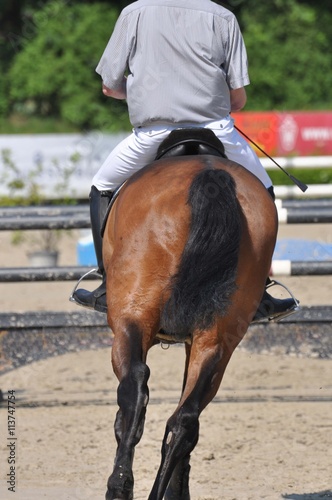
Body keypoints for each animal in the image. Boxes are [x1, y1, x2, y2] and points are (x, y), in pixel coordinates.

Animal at [102, 146, 278, 498]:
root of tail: (209, 174)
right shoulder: (194, 341)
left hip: (132, 317)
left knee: (134, 390)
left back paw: (119, 487)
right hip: (219, 337)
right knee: (184, 419)